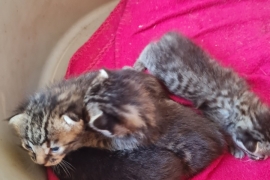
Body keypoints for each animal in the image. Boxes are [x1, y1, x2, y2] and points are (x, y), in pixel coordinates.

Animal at [134, 31, 270, 160]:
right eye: (260, 155)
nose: (264, 158)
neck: (242, 101)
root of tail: (166, 39)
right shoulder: (214, 117)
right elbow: (226, 134)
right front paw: (235, 148)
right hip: (154, 63)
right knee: (147, 50)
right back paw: (138, 64)